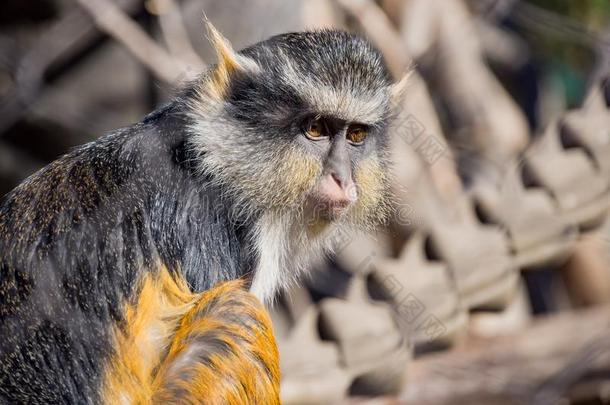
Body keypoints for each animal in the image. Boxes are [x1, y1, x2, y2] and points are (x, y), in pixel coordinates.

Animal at [0, 23, 404, 402]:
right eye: (316, 129)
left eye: (355, 136)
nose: (342, 178)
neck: (213, 161)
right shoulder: (210, 231)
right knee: (235, 311)